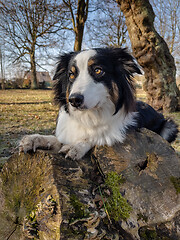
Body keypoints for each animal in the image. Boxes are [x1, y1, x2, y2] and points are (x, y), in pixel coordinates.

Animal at [18, 47, 179, 159]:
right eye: (71, 74)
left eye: (97, 70)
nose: (74, 100)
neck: (89, 116)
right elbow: (57, 139)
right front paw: (35, 139)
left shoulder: (124, 128)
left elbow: (98, 135)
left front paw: (75, 146)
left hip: (170, 126)